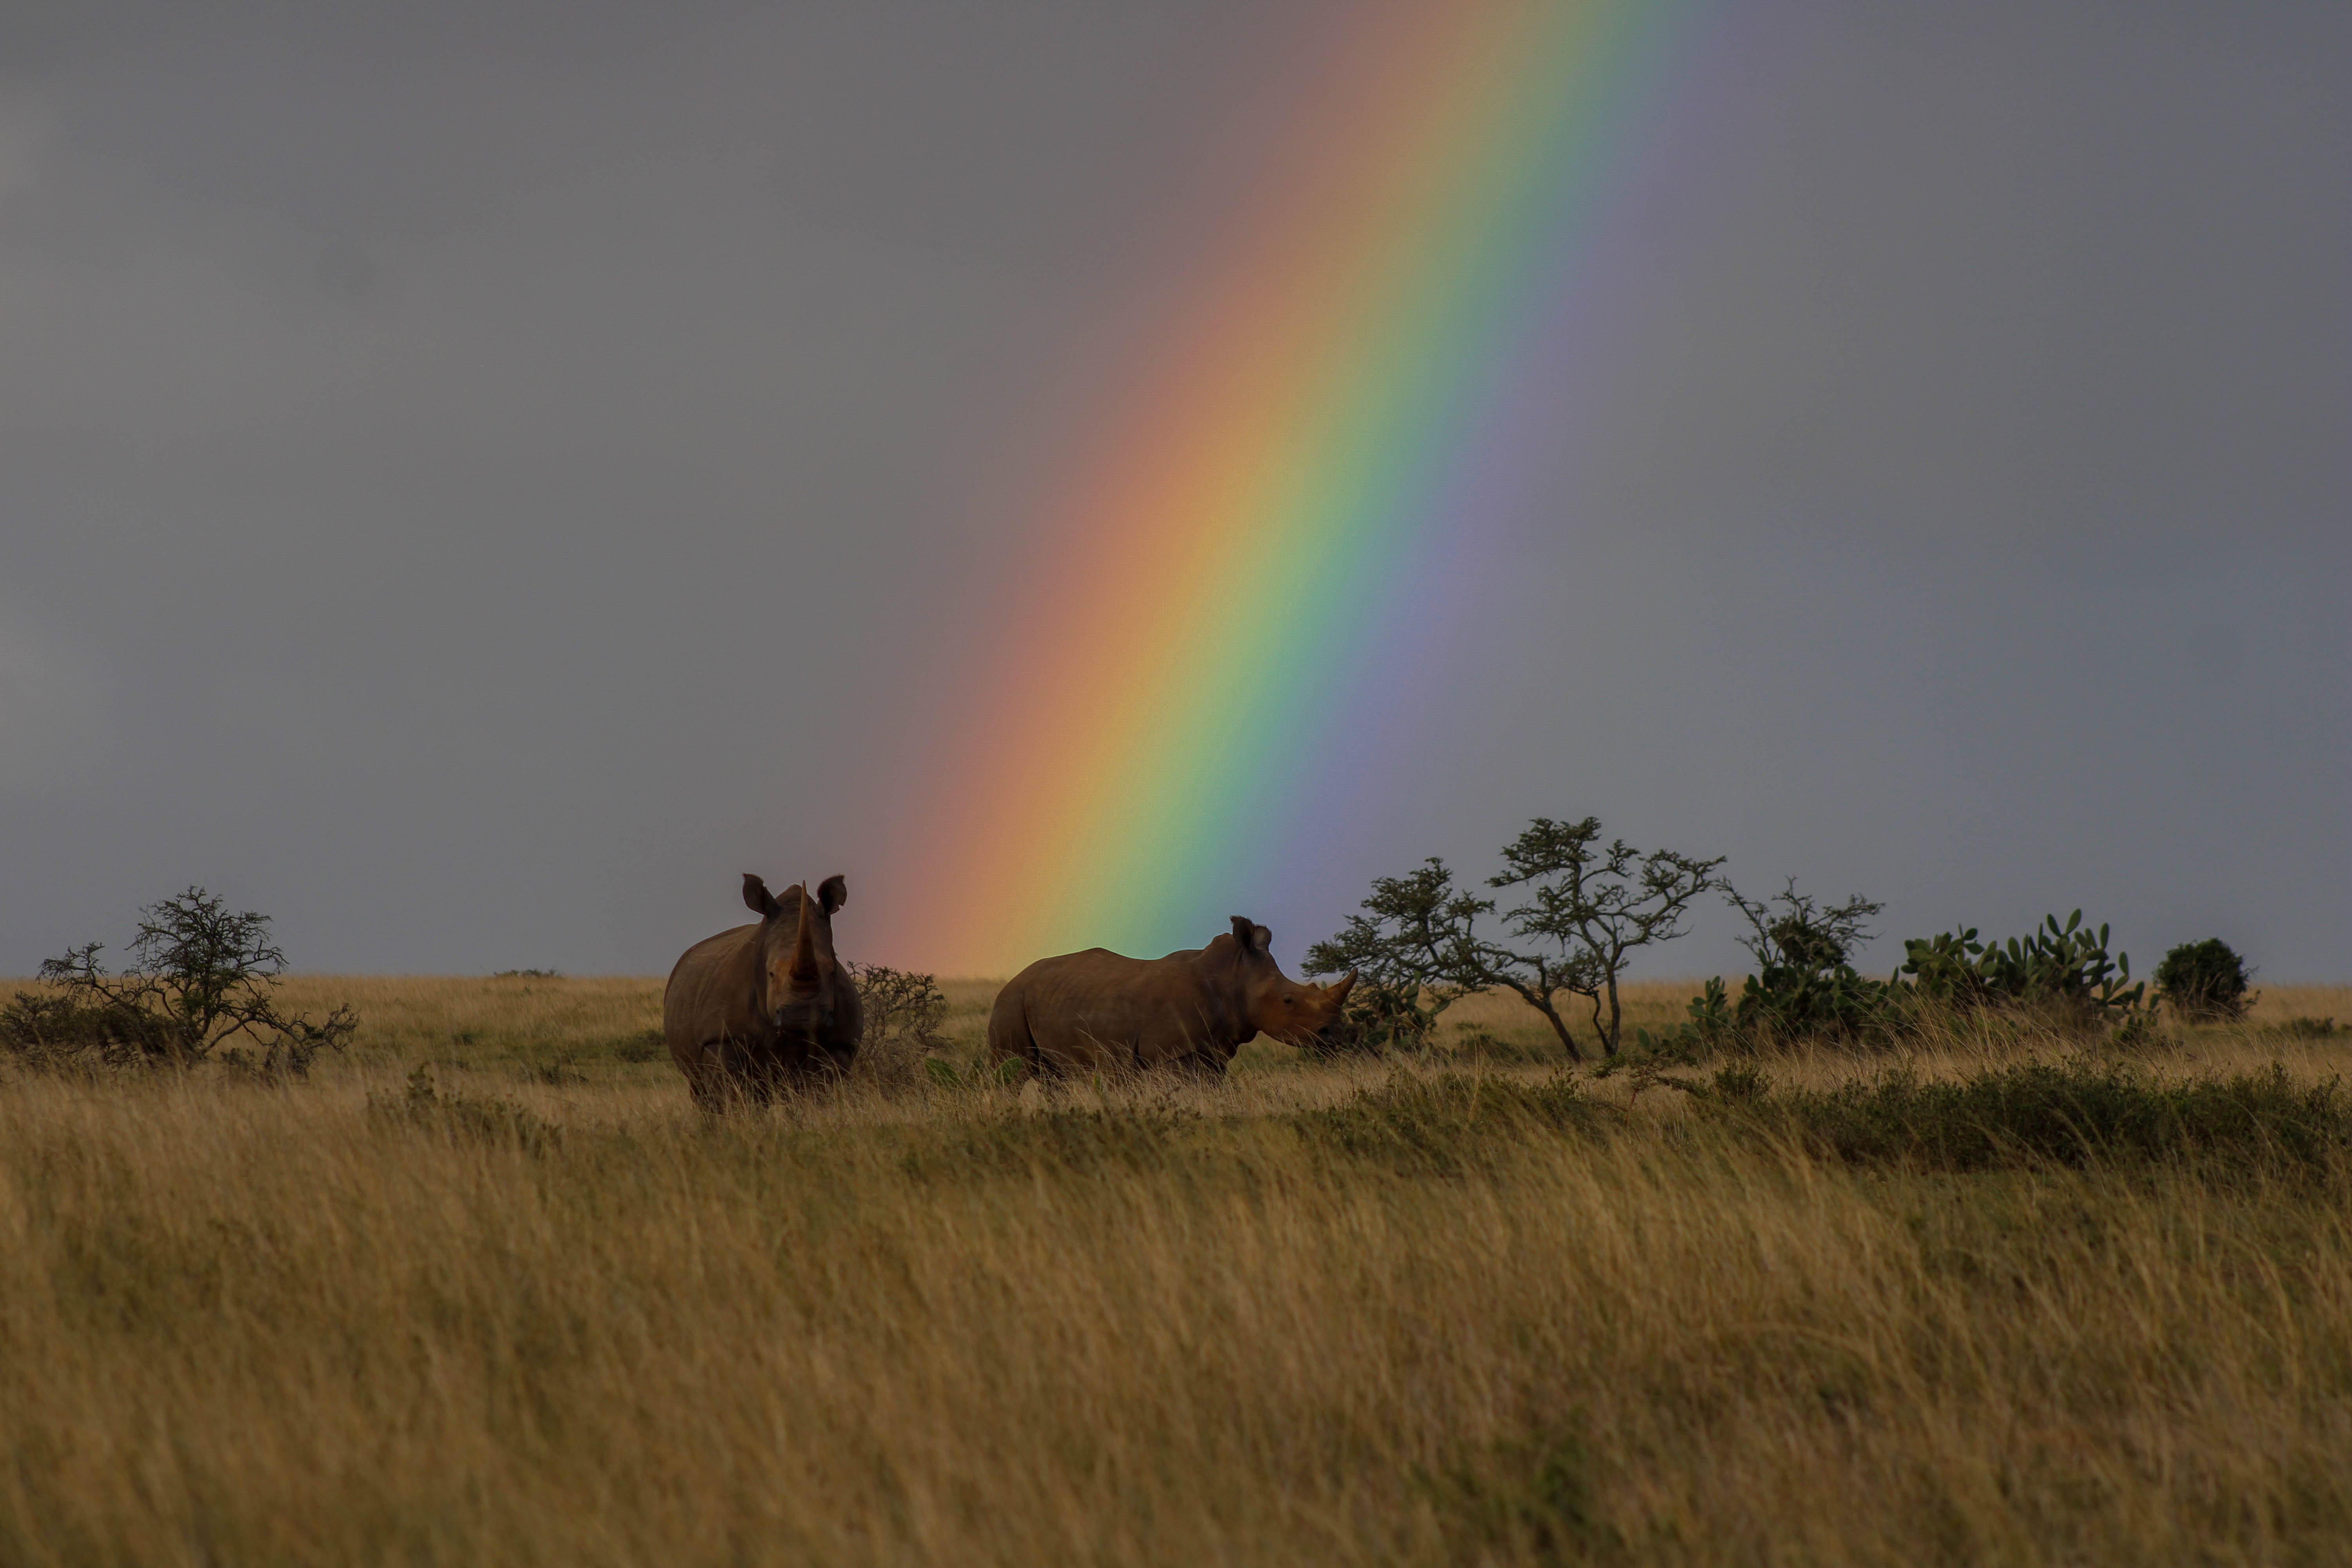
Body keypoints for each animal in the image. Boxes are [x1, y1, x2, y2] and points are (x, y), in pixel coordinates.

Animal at [662, 872, 861, 1107]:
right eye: (771, 974)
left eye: (832, 973)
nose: (803, 1017)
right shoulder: (720, 1039)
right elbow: (731, 1095)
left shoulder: (839, 1044)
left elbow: (817, 1094)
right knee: (702, 1088)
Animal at [987, 916, 1356, 1078]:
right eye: (1288, 1001)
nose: (1334, 1035)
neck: (1232, 977)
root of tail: (1011, 981)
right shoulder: (1171, 1053)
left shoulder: (1213, 1051)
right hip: (1009, 1003)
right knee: (1013, 1072)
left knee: (1056, 1080)